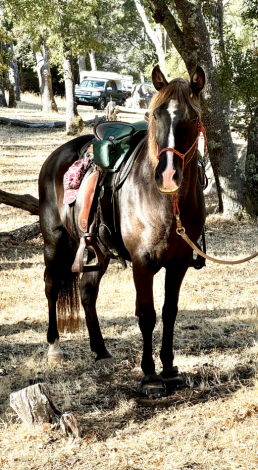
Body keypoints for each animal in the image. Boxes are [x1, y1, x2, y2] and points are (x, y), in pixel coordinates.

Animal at [38, 66, 206, 396]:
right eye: (155, 116)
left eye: (193, 117)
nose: (167, 175)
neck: (168, 202)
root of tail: (56, 156)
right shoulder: (142, 262)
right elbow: (147, 315)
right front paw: (150, 376)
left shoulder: (179, 264)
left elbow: (169, 312)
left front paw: (169, 369)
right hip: (54, 241)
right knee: (51, 285)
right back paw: (54, 347)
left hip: (97, 251)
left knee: (86, 291)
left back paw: (100, 350)